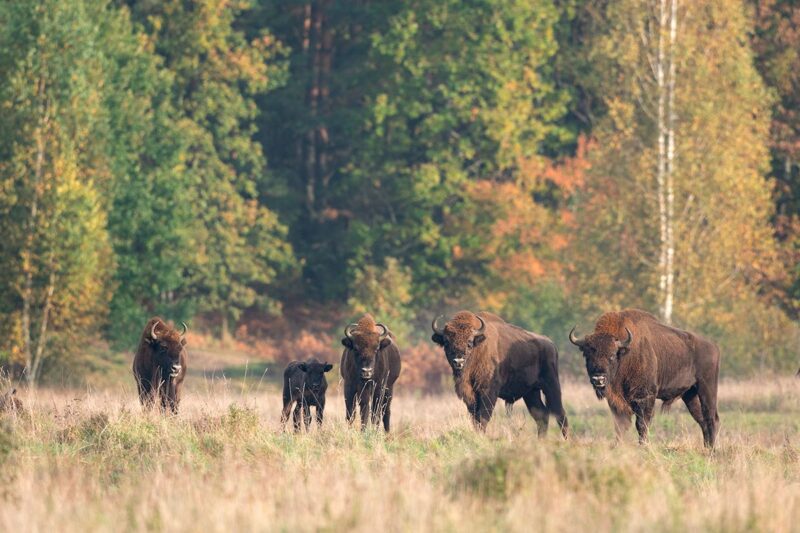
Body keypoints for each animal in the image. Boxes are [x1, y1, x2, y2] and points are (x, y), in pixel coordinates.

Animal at [432, 308, 568, 436]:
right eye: (446, 343)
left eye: (469, 343)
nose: (458, 361)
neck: (478, 348)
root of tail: (551, 344)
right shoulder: (470, 395)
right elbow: (475, 419)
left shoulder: (488, 392)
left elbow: (483, 418)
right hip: (531, 392)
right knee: (542, 416)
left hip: (551, 386)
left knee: (560, 414)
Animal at [568, 306, 724, 446]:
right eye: (587, 355)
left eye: (612, 355)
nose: (598, 379)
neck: (625, 354)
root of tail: (714, 347)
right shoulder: (615, 402)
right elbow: (620, 426)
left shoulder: (645, 397)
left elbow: (642, 425)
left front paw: (644, 447)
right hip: (690, 394)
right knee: (702, 420)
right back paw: (707, 448)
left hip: (707, 388)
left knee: (712, 418)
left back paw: (712, 451)